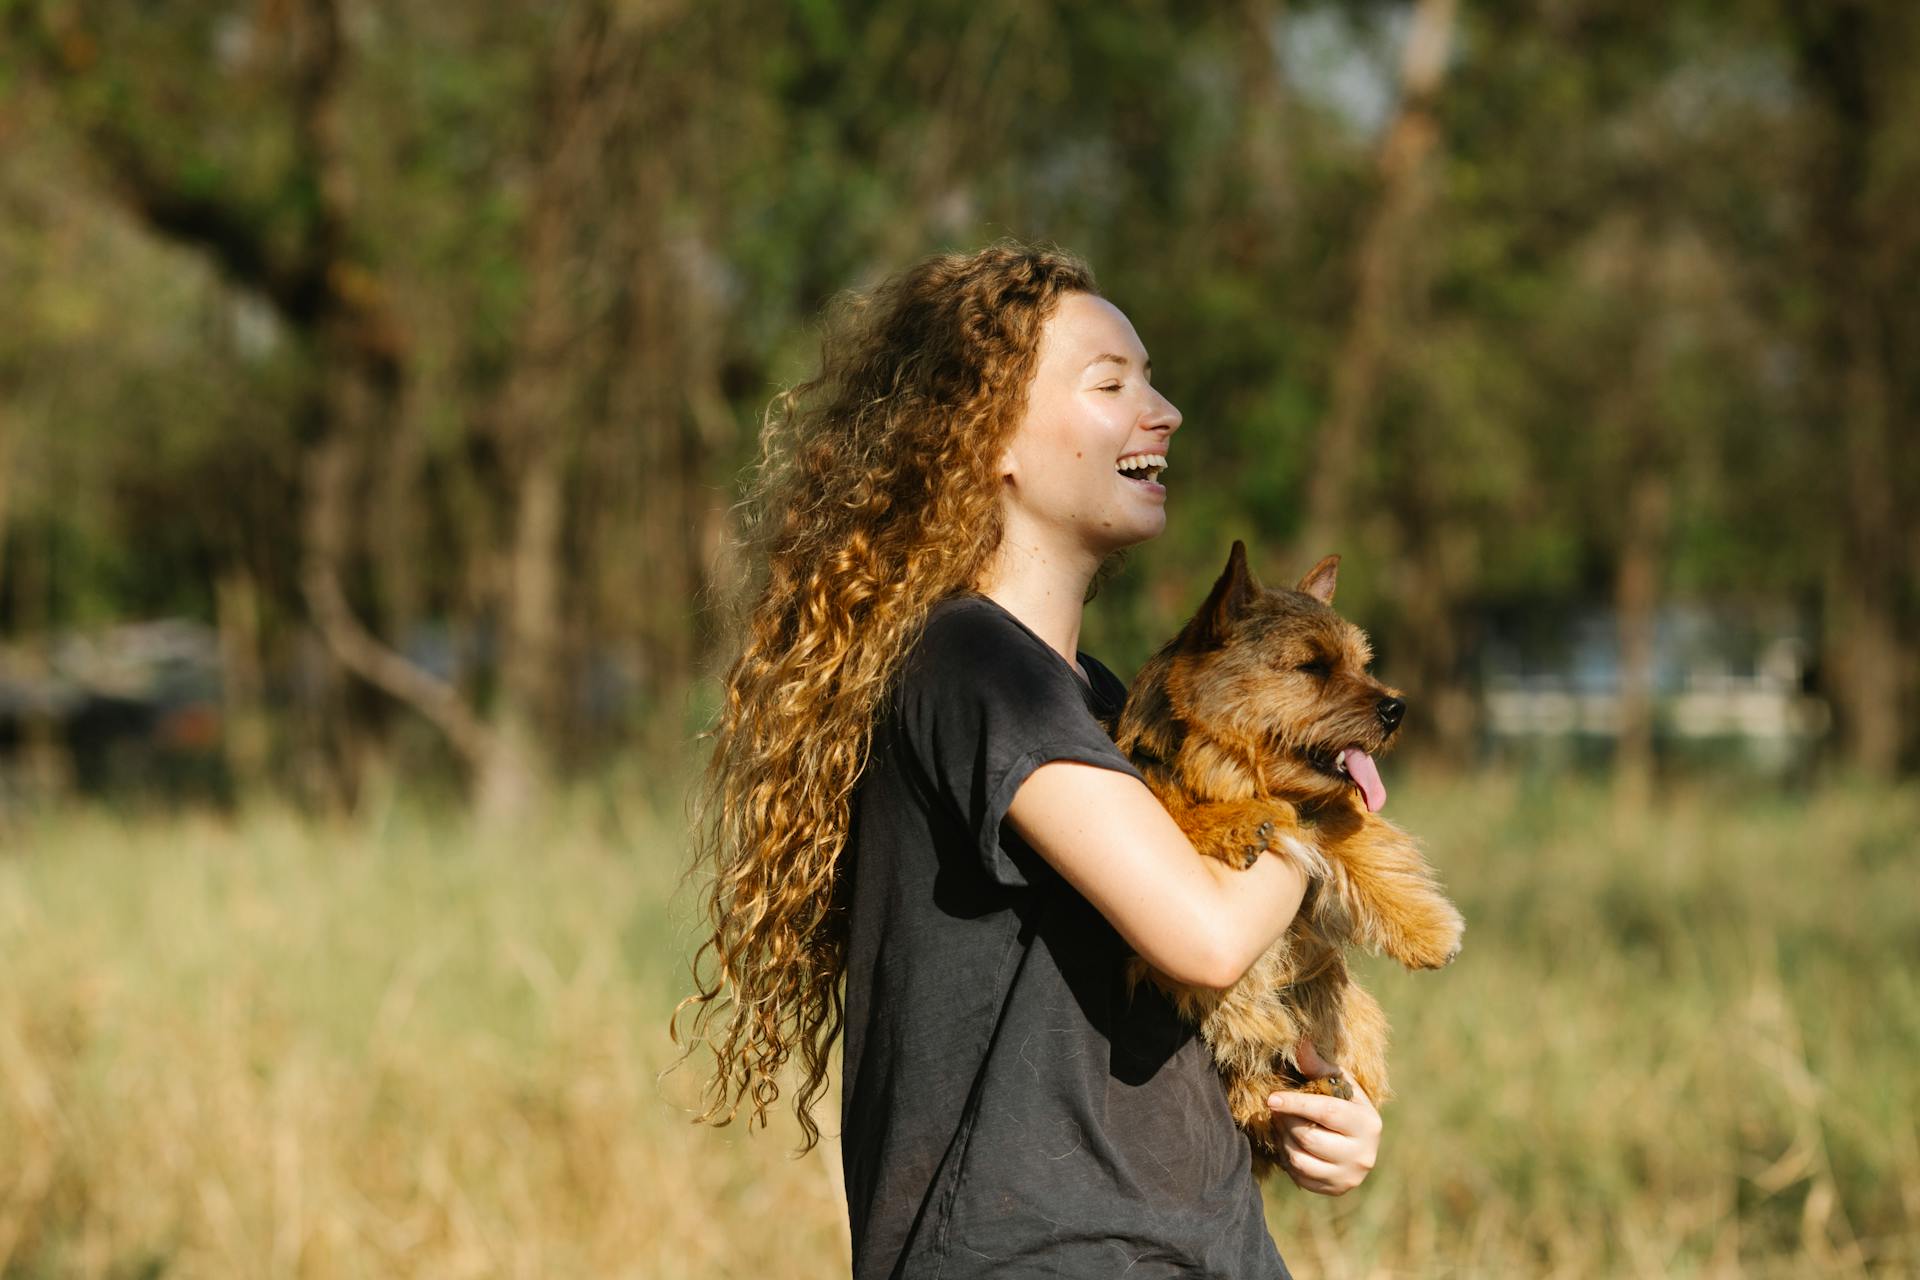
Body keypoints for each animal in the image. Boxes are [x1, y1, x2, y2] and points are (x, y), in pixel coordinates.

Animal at [1105, 545, 1459, 1182]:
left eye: (1361, 664)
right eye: (1312, 667)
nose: (1397, 707)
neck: (1235, 774)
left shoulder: (1329, 811)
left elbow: (1364, 844)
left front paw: (1426, 930)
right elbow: (1175, 809)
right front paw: (1237, 823)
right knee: (1253, 1080)